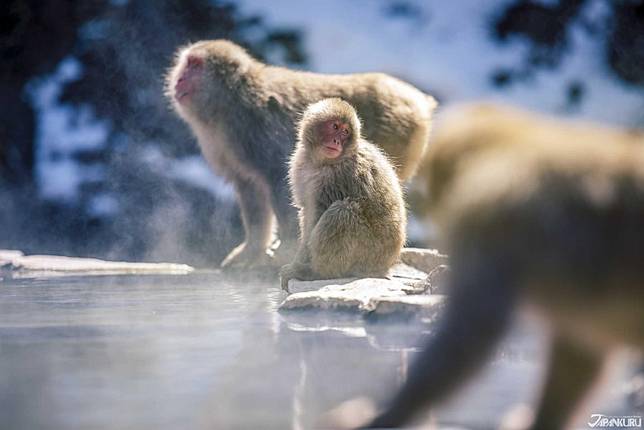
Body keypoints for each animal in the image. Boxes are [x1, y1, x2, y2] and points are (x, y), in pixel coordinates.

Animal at [166, 40, 438, 268]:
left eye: (195, 65)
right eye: (186, 63)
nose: (179, 79)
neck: (229, 103)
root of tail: (418, 98)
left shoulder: (256, 129)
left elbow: (278, 181)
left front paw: (285, 250)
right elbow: (250, 191)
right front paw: (252, 249)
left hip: (398, 135)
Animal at [280, 99, 406, 290]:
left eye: (346, 132)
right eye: (335, 126)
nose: (337, 141)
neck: (321, 163)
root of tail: (386, 265)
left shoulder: (339, 176)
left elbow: (316, 216)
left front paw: (297, 266)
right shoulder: (300, 165)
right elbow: (307, 213)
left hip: (369, 253)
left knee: (342, 211)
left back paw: (317, 273)